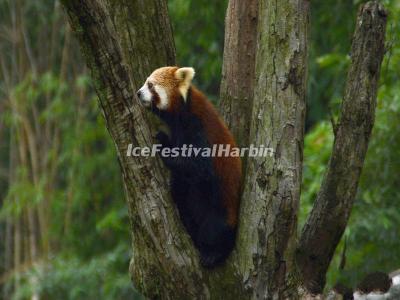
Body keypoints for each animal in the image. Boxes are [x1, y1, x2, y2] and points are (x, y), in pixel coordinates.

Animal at [136, 66, 241, 268]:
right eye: (145, 82)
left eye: (150, 85)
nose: (138, 93)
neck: (182, 112)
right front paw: (165, 138)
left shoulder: (199, 128)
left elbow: (199, 168)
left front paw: (165, 148)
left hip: (222, 206)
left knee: (214, 228)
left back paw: (213, 252)